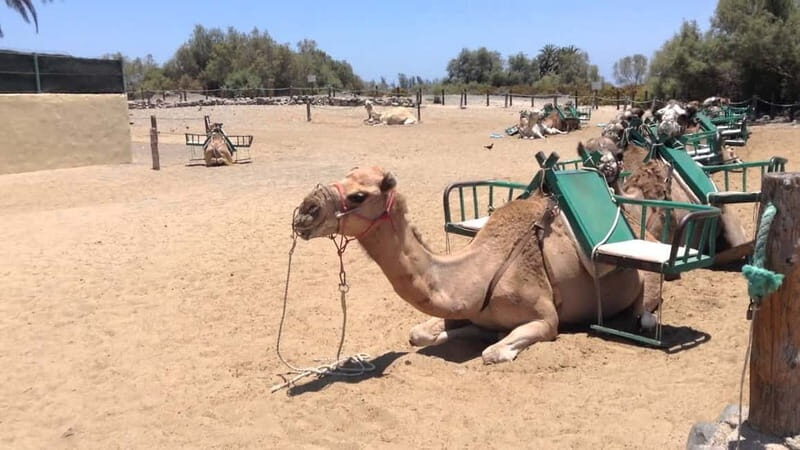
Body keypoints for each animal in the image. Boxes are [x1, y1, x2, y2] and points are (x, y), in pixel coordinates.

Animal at [294, 166, 662, 364]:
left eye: (358, 195)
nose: (305, 212)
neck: (481, 273)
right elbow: (418, 334)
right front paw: (453, 333)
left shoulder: (546, 318)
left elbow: (493, 352)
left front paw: (492, 340)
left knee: (646, 304)